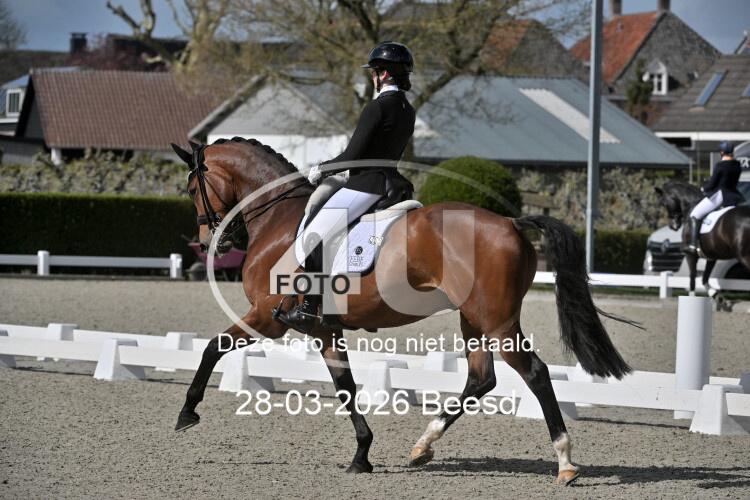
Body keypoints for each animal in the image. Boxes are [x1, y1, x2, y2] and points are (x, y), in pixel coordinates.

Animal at [171, 137, 633, 486]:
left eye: (192, 188)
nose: (212, 241)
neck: (278, 219)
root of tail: (512, 223)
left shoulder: (266, 317)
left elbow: (212, 347)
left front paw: (187, 413)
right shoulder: (323, 330)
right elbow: (345, 386)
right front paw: (362, 455)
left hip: (497, 322)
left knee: (534, 373)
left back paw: (565, 463)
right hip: (474, 319)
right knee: (481, 378)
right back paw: (423, 446)